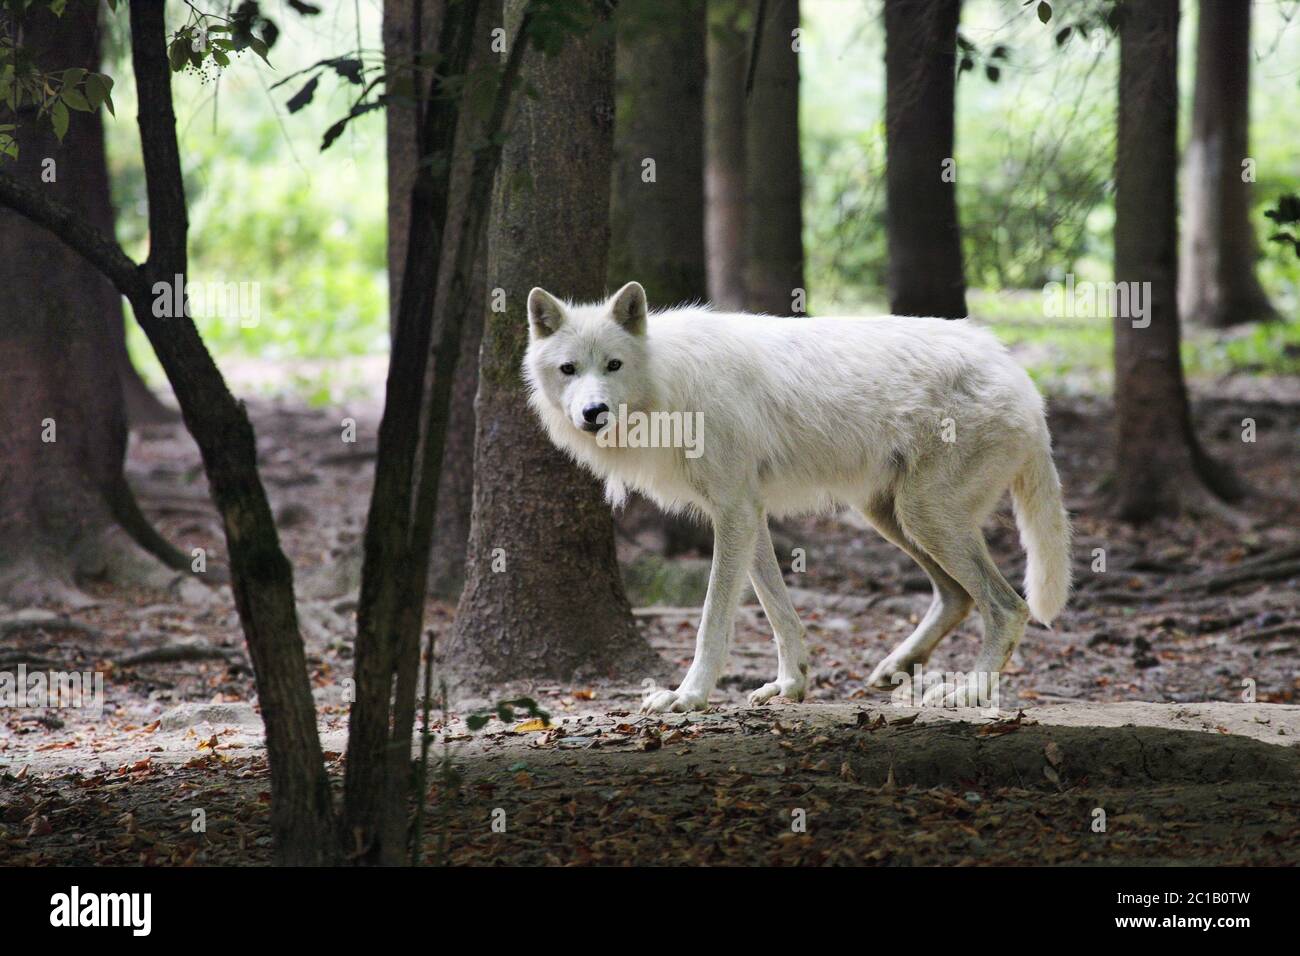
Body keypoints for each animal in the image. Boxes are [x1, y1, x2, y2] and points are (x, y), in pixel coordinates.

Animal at [523, 281, 1071, 713]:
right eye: (569, 369)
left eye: (613, 365)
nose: (593, 412)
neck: (668, 385)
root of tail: (1020, 377)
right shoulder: (749, 513)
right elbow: (777, 609)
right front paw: (790, 685)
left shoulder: (733, 512)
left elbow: (713, 620)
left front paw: (689, 696)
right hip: (890, 515)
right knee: (956, 596)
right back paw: (899, 667)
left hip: (923, 516)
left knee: (1007, 607)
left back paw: (968, 693)